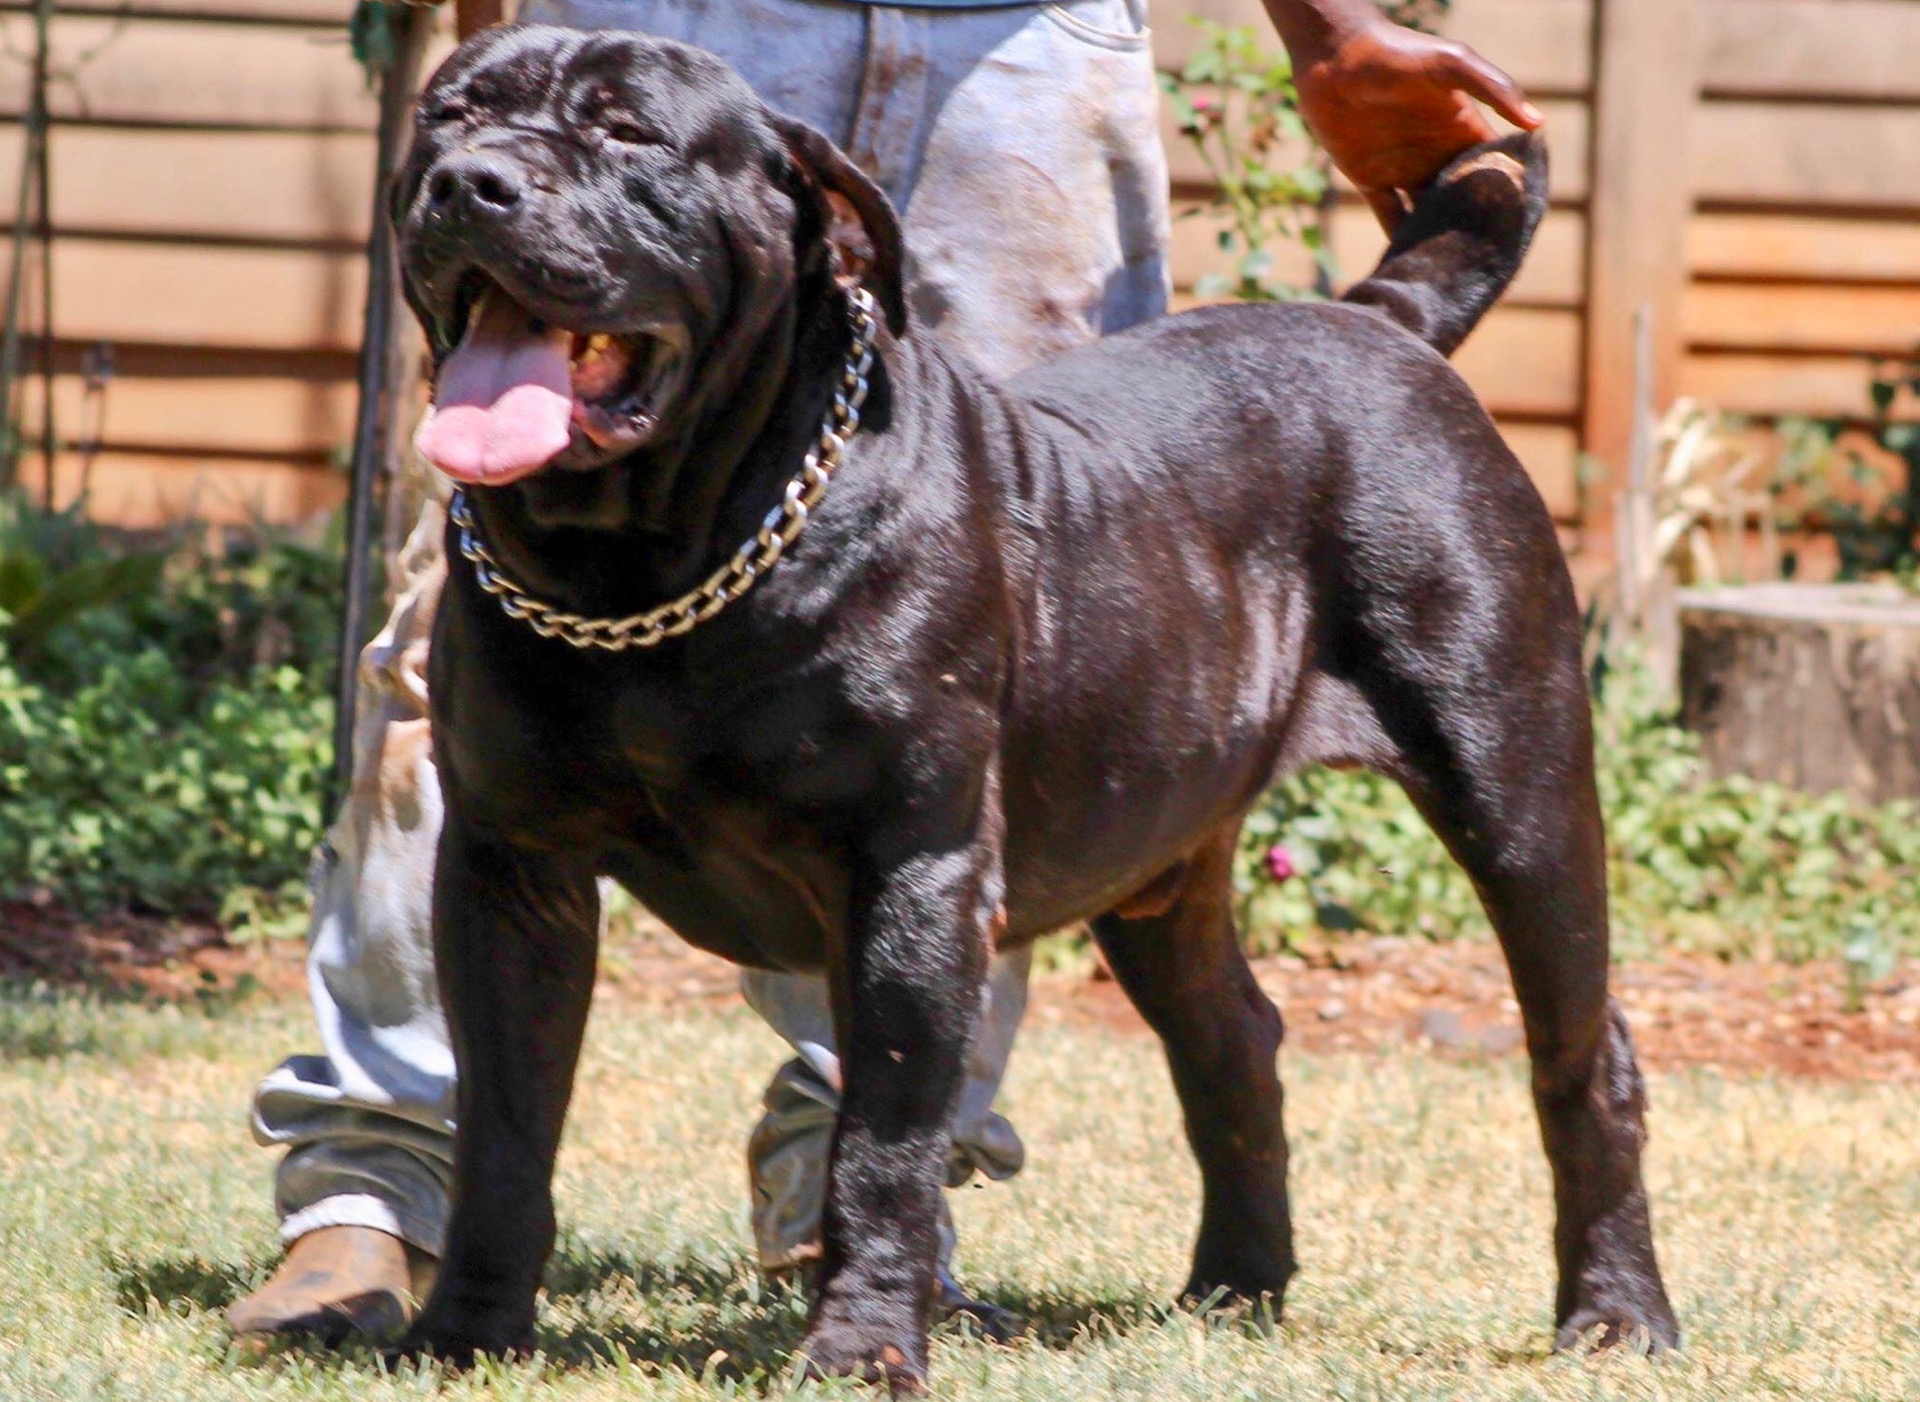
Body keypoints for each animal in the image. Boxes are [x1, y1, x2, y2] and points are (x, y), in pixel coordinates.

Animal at [393, 27, 1681, 1382]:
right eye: (450, 113)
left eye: (627, 130)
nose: (472, 182)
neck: (645, 572)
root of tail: (1380, 322)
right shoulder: (510, 871)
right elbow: (503, 1128)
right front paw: (465, 1330)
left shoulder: (911, 870)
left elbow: (884, 1141)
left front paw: (862, 1348)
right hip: (1158, 858)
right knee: (1234, 1044)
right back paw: (1236, 1283)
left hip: (1518, 790)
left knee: (1583, 1055)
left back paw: (1616, 1312)